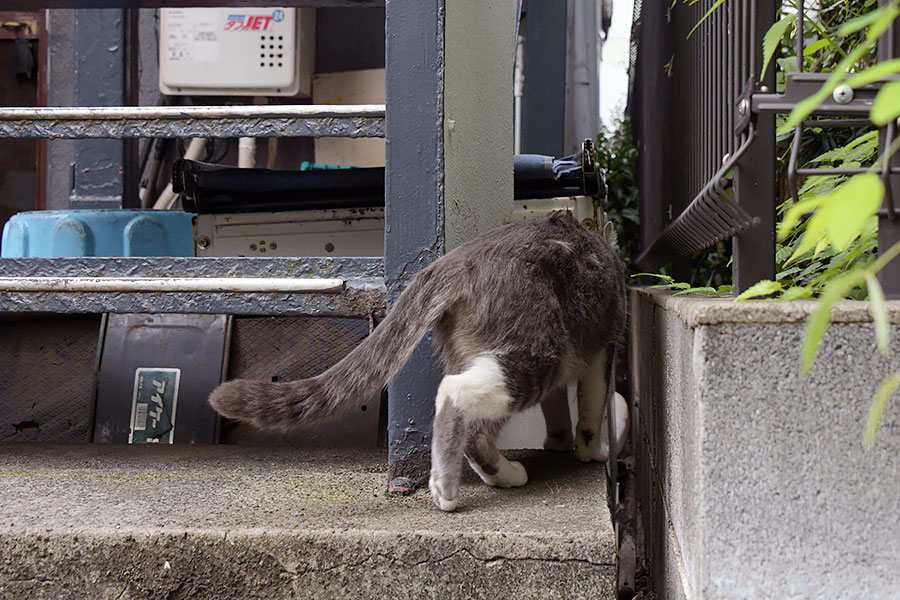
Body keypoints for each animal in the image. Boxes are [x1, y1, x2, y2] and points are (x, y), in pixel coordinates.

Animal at [209, 212, 624, 510]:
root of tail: (457, 260)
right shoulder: (604, 347)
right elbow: (594, 408)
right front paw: (592, 452)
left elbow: (558, 410)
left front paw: (558, 441)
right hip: (537, 354)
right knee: (458, 398)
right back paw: (459, 487)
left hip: (489, 351)